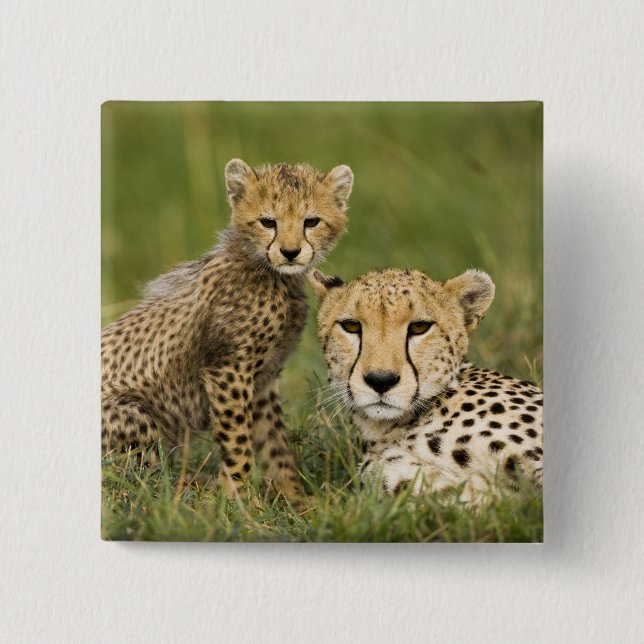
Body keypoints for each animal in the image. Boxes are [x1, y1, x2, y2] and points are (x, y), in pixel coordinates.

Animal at [101, 158, 353, 504]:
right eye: (268, 222)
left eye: (311, 221)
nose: (290, 252)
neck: (270, 273)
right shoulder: (228, 371)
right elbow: (238, 442)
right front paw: (239, 500)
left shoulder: (263, 380)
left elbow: (274, 444)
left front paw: (293, 499)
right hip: (132, 413)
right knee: (138, 485)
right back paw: (195, 490)